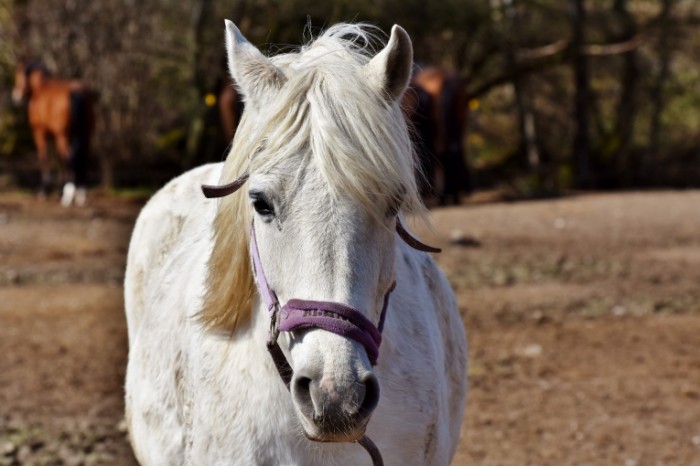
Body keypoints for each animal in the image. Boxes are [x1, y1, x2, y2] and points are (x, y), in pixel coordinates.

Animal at [11, 60, 93, 206]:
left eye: (18, 75)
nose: (15, 96)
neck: (39, 89)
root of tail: (77, 92)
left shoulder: (39, 132)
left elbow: (45, 157)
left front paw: (44, 190)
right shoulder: (54, 135)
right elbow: (58, 160)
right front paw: (60, 188)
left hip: (63, 136)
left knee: (68, 157)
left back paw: (68, 194)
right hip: (85, 134)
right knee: (82, 157)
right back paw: (81, 194)